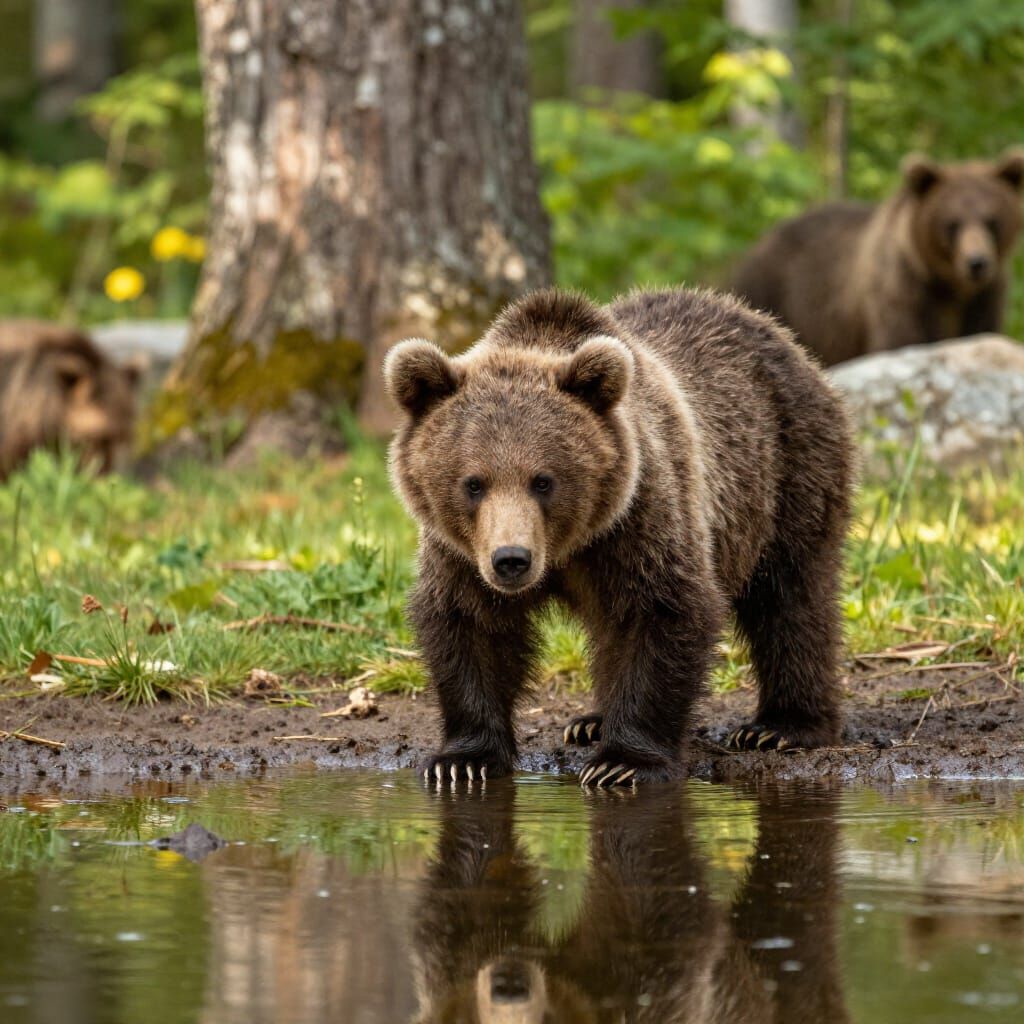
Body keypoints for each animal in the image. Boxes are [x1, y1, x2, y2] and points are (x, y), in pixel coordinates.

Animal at [385, 286, 853, 787]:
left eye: (543, 481)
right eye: (473, 483)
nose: (511, 559)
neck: (567, 549)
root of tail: (767, 326)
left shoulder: (640, 516)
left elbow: (661, 611)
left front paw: (622, 763)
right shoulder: (460, 551)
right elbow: (470, 624)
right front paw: (463, 760)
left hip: (788, 471)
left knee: (792, 599)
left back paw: (780, 727)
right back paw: (590, 722)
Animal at [732, 149, 1024, 365]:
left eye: (992, 221)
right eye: (952, 224)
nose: (977, 263)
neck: (948, 286)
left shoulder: (985, 297)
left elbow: (981, 329)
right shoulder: (903, 288)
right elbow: (901, 338)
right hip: (777, 291)